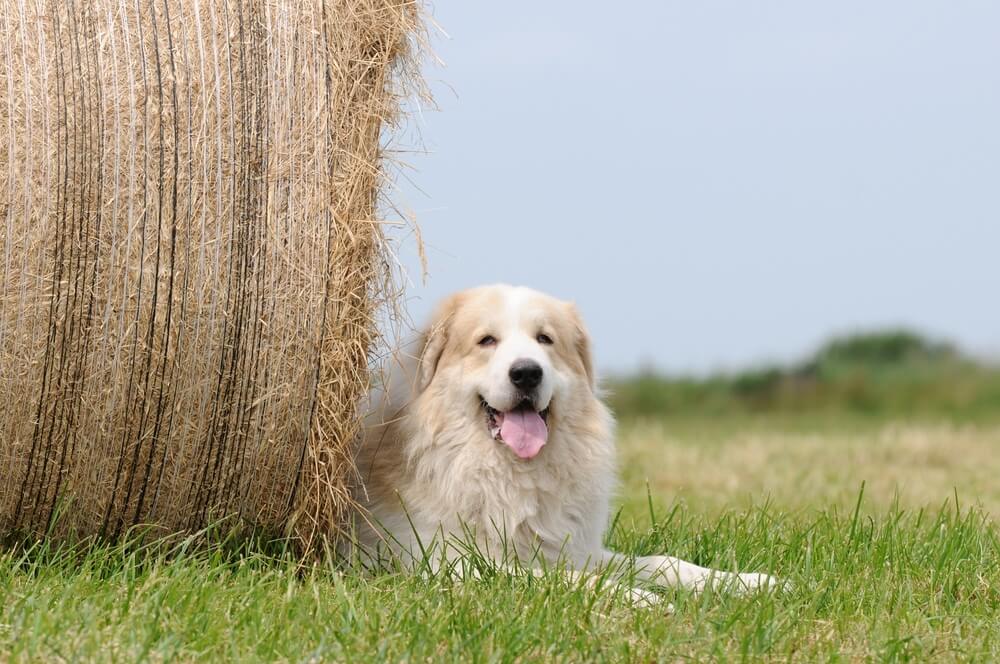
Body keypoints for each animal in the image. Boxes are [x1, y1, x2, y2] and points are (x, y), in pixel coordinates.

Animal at [352, 282, 780, 604]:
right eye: (486, 341)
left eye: (545, 339)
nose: (527, 372)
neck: (507, 473)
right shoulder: (453, 565)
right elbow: (566, 579)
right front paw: (638, 597)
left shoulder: (575, 550)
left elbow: (662, 562)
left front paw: (749, 582)